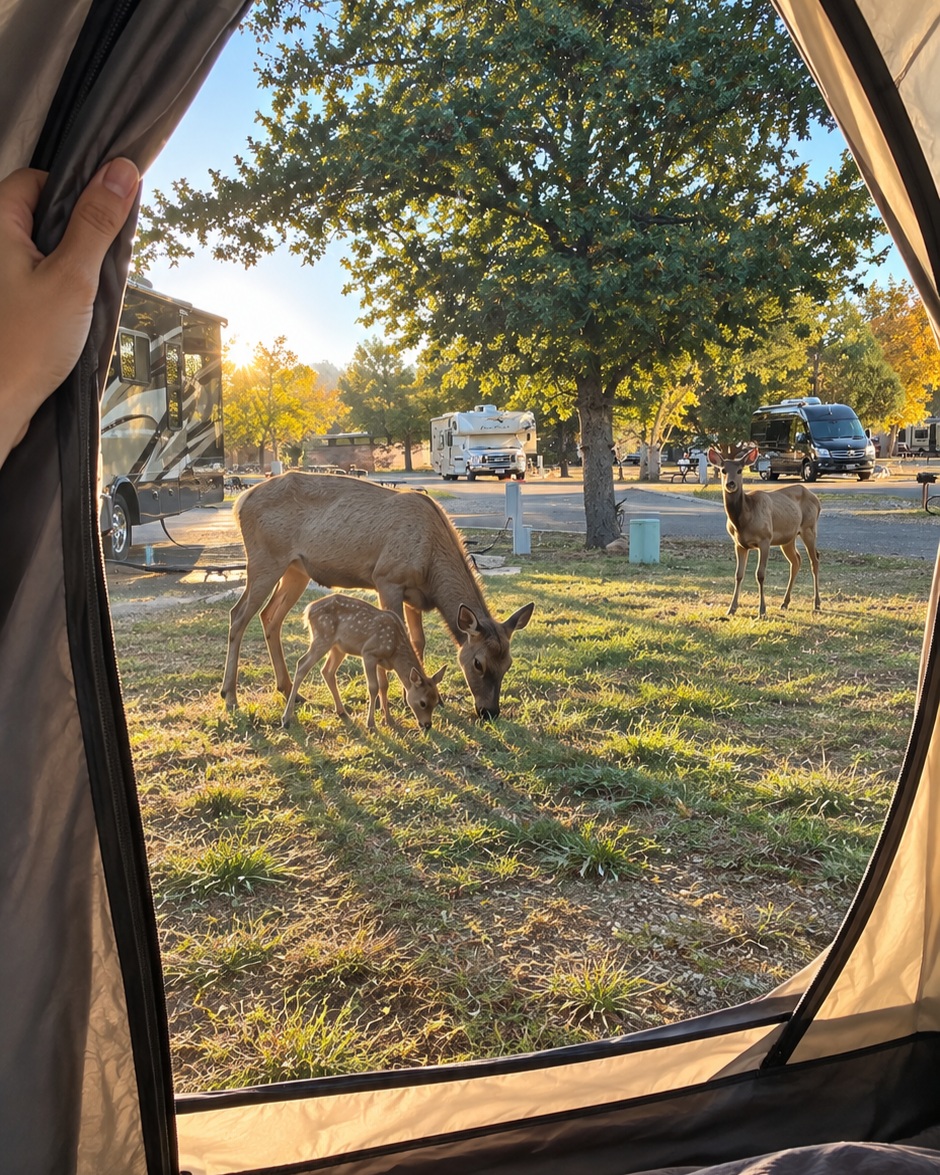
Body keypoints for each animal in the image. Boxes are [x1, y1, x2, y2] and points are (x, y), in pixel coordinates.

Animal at [280, 594, 446, 731]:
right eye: (423, 702)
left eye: (436, 701)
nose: (427, 725)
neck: (394, 650)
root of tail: (308, 610)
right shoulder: (369, 653)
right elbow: (373, 688)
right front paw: (371, 724)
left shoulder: (381, 661)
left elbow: (384, 686)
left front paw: (389, 720)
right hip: (322, 637)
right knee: (302, 665)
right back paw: (286, 719)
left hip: (338, 647)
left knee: (327, 671)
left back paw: (342, 711)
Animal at [708, 443, 821, 617]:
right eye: (723, 470)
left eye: (740, 470)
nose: (731, 484)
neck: (743, 520)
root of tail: (817, 500)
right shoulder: (739, 544)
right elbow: (738, 575)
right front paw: (731, 609)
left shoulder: (765, 539)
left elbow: (760, 574)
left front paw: (762, 610)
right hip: (788, 538)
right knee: (796, 561)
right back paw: (785, 603)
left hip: (809, 528)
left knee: (814, 560)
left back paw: (816, 604)